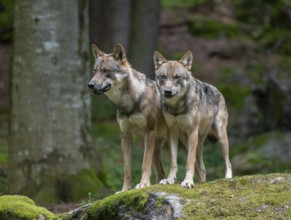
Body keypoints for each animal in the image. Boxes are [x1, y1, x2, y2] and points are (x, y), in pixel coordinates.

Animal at [88, 43, 168, 192]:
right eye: (94, 71)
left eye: (106, 71)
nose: (90, 85)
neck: (129, 101)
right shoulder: (126, 136)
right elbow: (127, 169)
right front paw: (125, 190)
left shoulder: (149, 132)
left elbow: (144, 163)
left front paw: (143, 184)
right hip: (157, 148)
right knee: (161, 173)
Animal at [154, 50, 234, 188]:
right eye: (163, 76)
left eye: (177, 77)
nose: (167, 91)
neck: (176, 106)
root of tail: (218, 90)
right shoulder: (172, 131)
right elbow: (173, 161)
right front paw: (169, 180)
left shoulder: (192, 131)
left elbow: (189, 162)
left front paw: (188, 182)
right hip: (189, 141)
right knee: (202, 169)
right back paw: (202, 182)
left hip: (220, 137)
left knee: (228, 162)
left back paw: (228, 178)